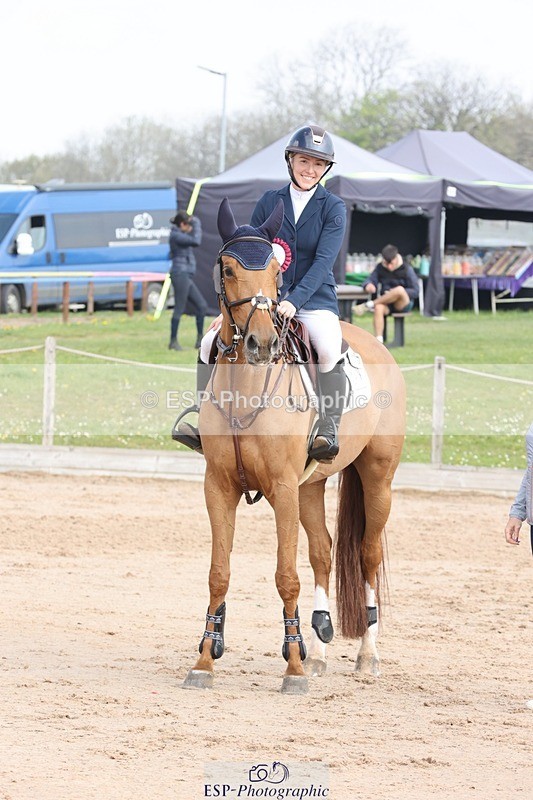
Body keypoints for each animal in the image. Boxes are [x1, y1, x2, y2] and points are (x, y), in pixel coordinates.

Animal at [181, 197, 406, 694]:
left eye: (274, 270)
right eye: (228, 269)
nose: (262, 343)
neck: (247, 387)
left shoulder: (282, 489)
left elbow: (286, 576)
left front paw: (293, 669)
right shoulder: (218, 486)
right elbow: (218, 574)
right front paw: (206, 659)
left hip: (377, 476)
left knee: (367, 554)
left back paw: (367, 656)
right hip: (310, 487)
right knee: (323, 552)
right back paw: (318, 651)